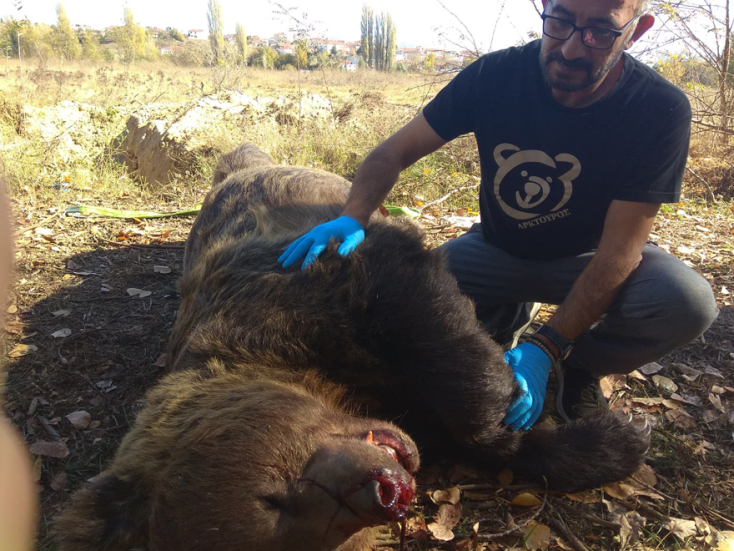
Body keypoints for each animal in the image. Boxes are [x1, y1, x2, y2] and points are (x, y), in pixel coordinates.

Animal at [54, 142, 650, 551]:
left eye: (275, 489)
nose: (387, 492)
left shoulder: (313, 279)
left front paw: (570, 422)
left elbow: (439, 335)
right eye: (295, 528)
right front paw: (602, 440)